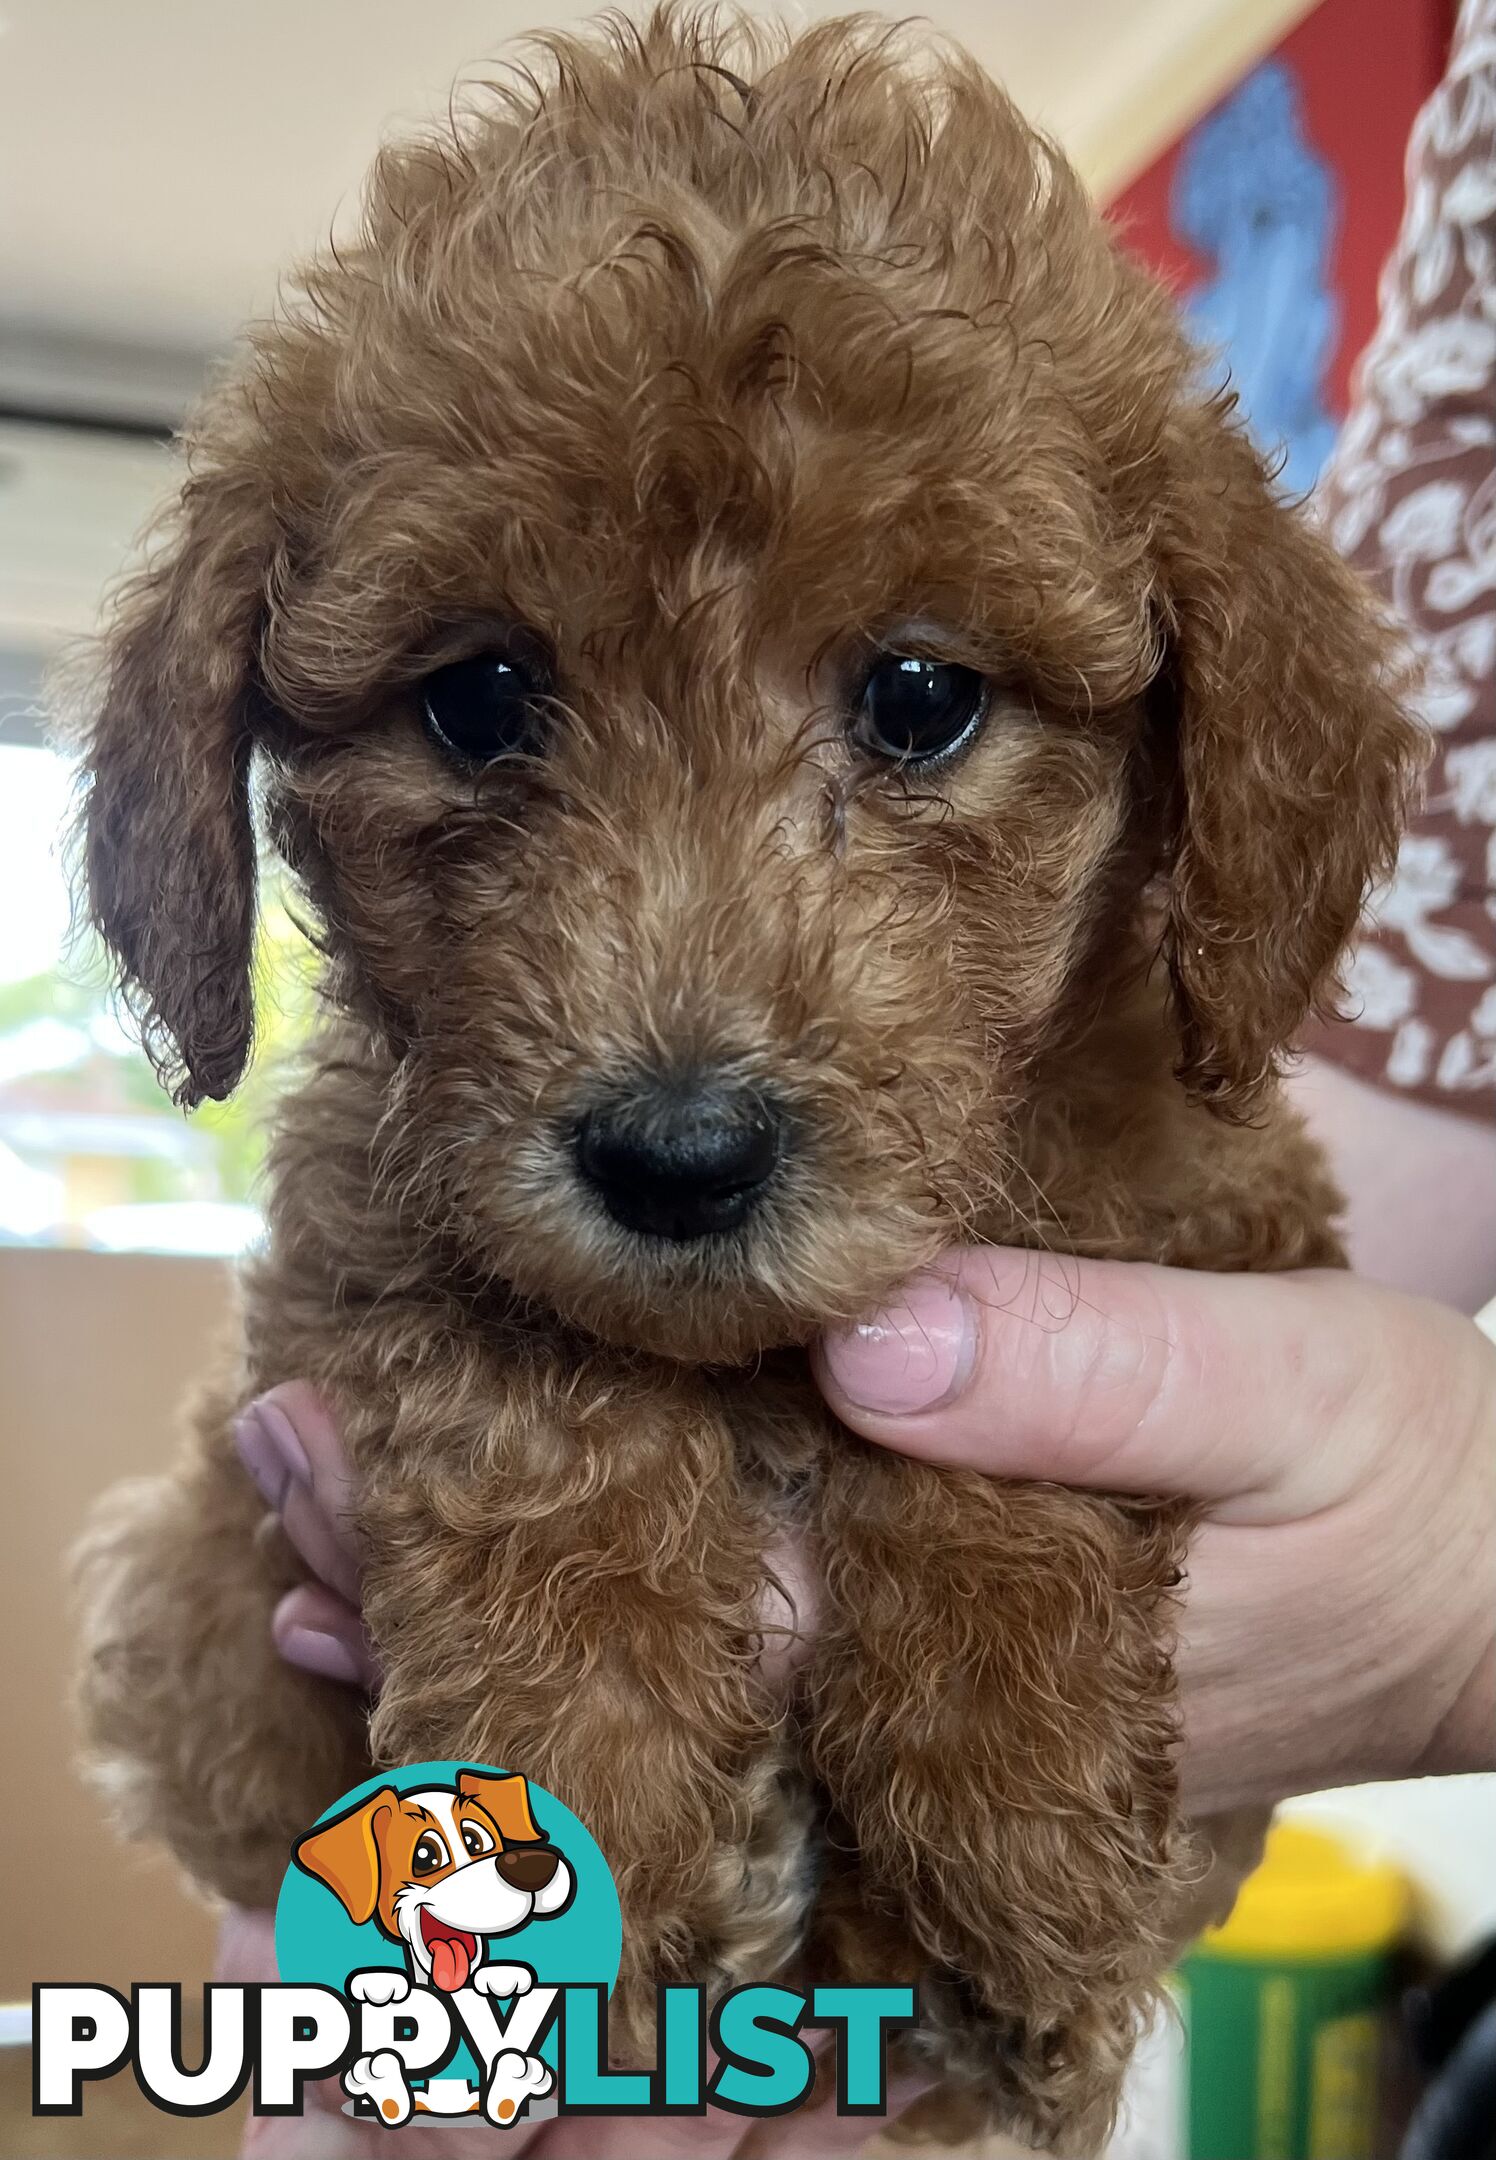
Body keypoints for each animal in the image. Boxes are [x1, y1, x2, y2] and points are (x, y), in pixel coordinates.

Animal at [70, 12, 1416, 2142]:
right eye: (479, 698)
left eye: (924, 698)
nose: (678, 1157)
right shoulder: (359, 1250)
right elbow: (533, 1385)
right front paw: (577, 1774)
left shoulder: (1211, 1205)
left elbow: (1016, 1378)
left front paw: (1016, 1804)